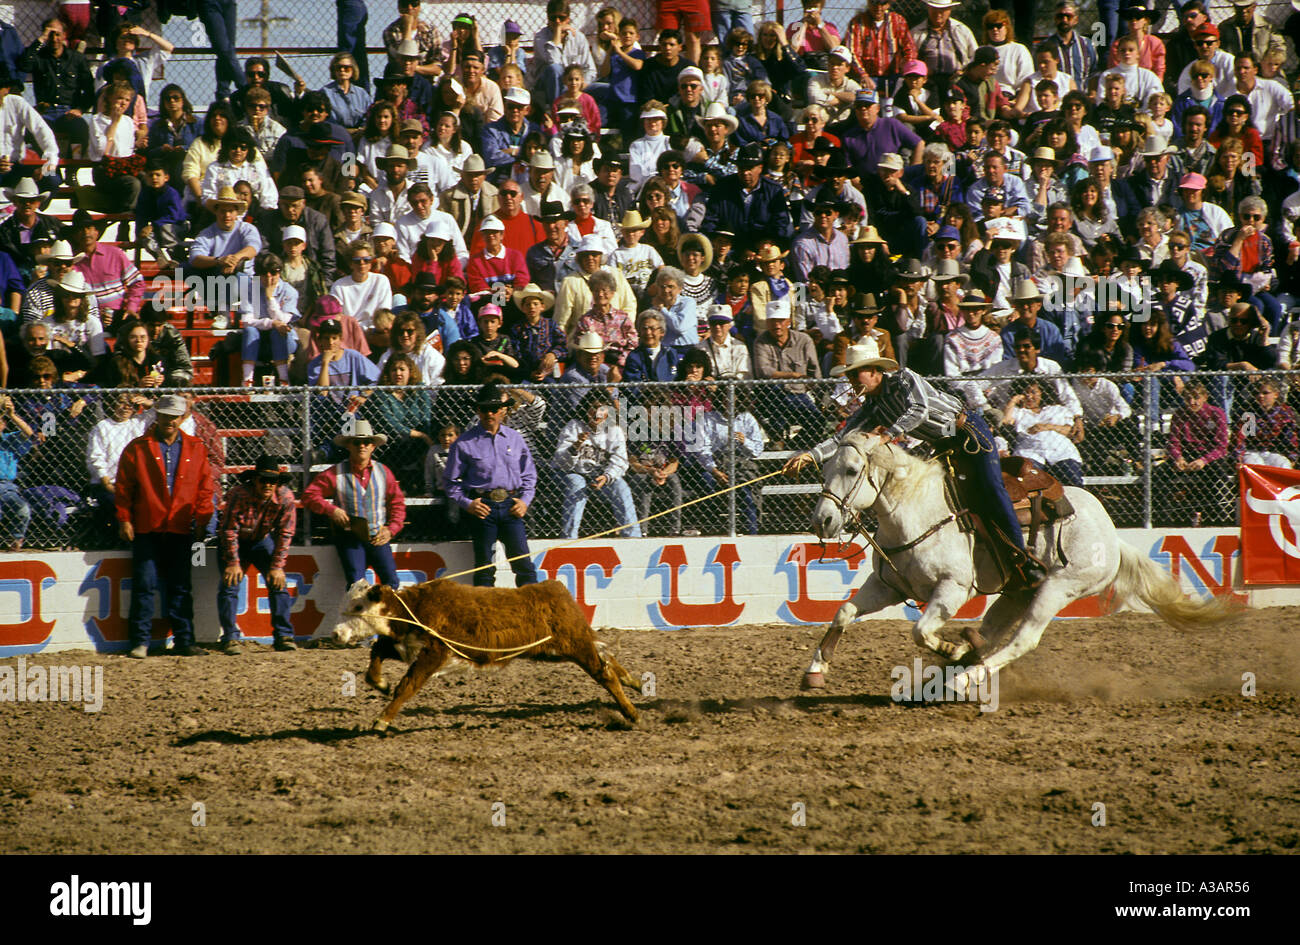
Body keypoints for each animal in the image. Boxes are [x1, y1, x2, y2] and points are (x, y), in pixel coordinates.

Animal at [332, 577, 642, 733]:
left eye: (358, 606)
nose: (336, 633)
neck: (414, 609)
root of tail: (555, 589)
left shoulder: (433, 653)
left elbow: (406, 686)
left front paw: (382, 720)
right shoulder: (405, 644)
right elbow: (376, 654)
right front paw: (380, 683)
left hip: (574, 644)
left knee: (604, 672)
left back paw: (632, 713)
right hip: (554, 650)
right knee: (605, 656)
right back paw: (634, 682)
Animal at [800, 431, 1237, 696]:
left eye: (852, 470)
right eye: (824, 469)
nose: (822, 520)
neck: (919, 510)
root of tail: (1112, 536)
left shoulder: (951, 589)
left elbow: (921, 631)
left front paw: (950, 649)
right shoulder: (889, 586)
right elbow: (844, 611)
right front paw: (815, 672)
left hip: (1058, 588)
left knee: (1022, 640)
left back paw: (965, 677)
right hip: (1016, 593)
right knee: (993, 633)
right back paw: (966, 659)